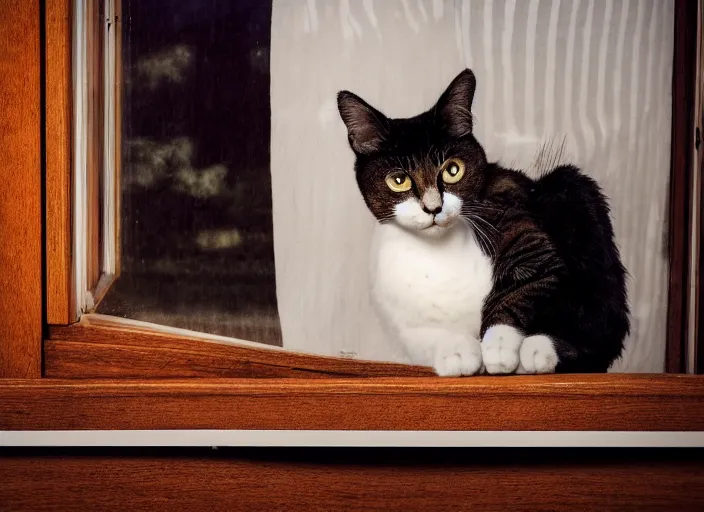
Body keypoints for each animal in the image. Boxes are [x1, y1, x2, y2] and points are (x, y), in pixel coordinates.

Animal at [336, 69, 628, 376]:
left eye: (453, 170)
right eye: (398, 180)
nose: (433, 207)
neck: (437, 254)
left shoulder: (511, 221)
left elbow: (524, 282)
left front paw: (497, 346)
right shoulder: (400, 317)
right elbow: (423, 335)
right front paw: (456, 351)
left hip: (569, 192)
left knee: (599, 330)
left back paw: (540, 351)